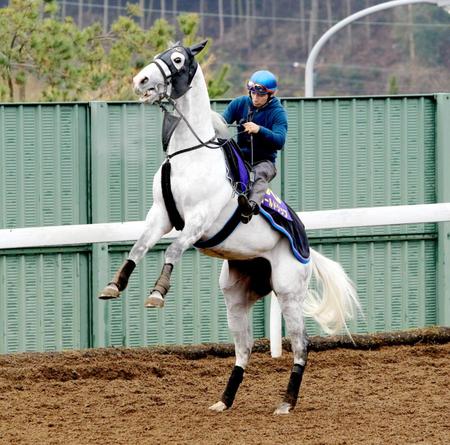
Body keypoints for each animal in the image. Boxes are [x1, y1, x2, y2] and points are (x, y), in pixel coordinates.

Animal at [98, 40, 358, 414]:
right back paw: (224, 400)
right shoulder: (161, 215)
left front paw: (157, 293)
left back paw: (286, 403)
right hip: (235, 298)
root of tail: (308, 249)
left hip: (289, 293)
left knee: (301, 344)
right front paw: (114, 286)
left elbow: (173, 248)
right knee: (244, 348)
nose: (141, 80)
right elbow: (139, 246)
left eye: (178, 59)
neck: (191, 155)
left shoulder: (198, 220)